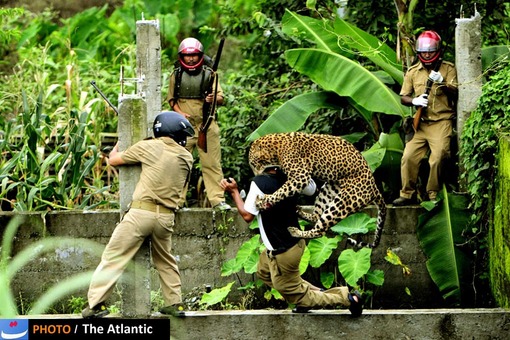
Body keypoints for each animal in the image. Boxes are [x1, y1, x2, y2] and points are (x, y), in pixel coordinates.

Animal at [248, 131, 386, 248]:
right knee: (316, 216)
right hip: (328, 190)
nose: (255, 176)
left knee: (321, 231)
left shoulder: (300, 176)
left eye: (253, 164)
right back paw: (299, 211)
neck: (276, 149)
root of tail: (374, 188)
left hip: (342, 203)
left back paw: (295, 231)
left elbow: (281, 191)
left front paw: (263, 201)